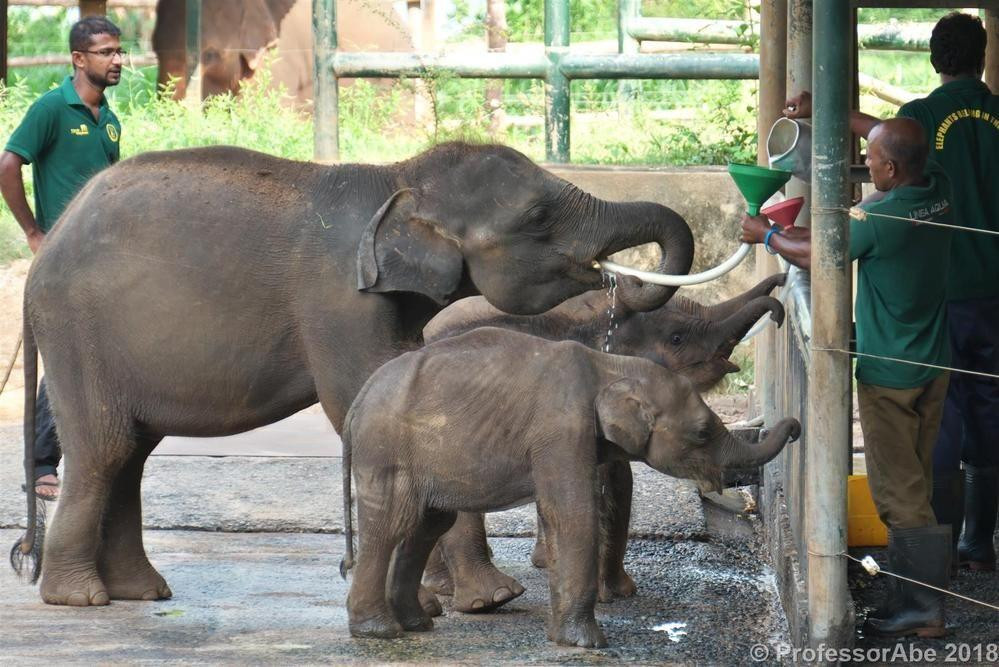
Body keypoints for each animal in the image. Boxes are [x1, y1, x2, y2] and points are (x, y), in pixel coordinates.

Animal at [16, 141, 695, 608]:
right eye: (536, 217)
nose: (620, 283)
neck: (398, 178)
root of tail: (46, 245)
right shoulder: (339, 299)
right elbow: (359, 401)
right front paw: (475, 601)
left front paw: (447, 599)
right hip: (75, 332)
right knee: (106, 447)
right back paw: (80, 598)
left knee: (132, 453)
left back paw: (141, 592)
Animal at [340, 327, 801, 647]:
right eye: (703, 432)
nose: (796, 428)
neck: (611, 366)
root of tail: (358, 399)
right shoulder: (561, 429)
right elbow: (572, 510)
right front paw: (587, 644)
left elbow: (567, 512)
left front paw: (562, 638)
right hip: (386, 451)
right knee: (392, 525)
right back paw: (379, 632)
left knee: (426, 525)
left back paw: (417, 625)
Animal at [417, 273, 788, 613]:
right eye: (677, 337)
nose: (779, 311)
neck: (595, 323)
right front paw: (599, 597)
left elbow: (619, 480)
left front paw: (621, 593)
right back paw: (488, 599)